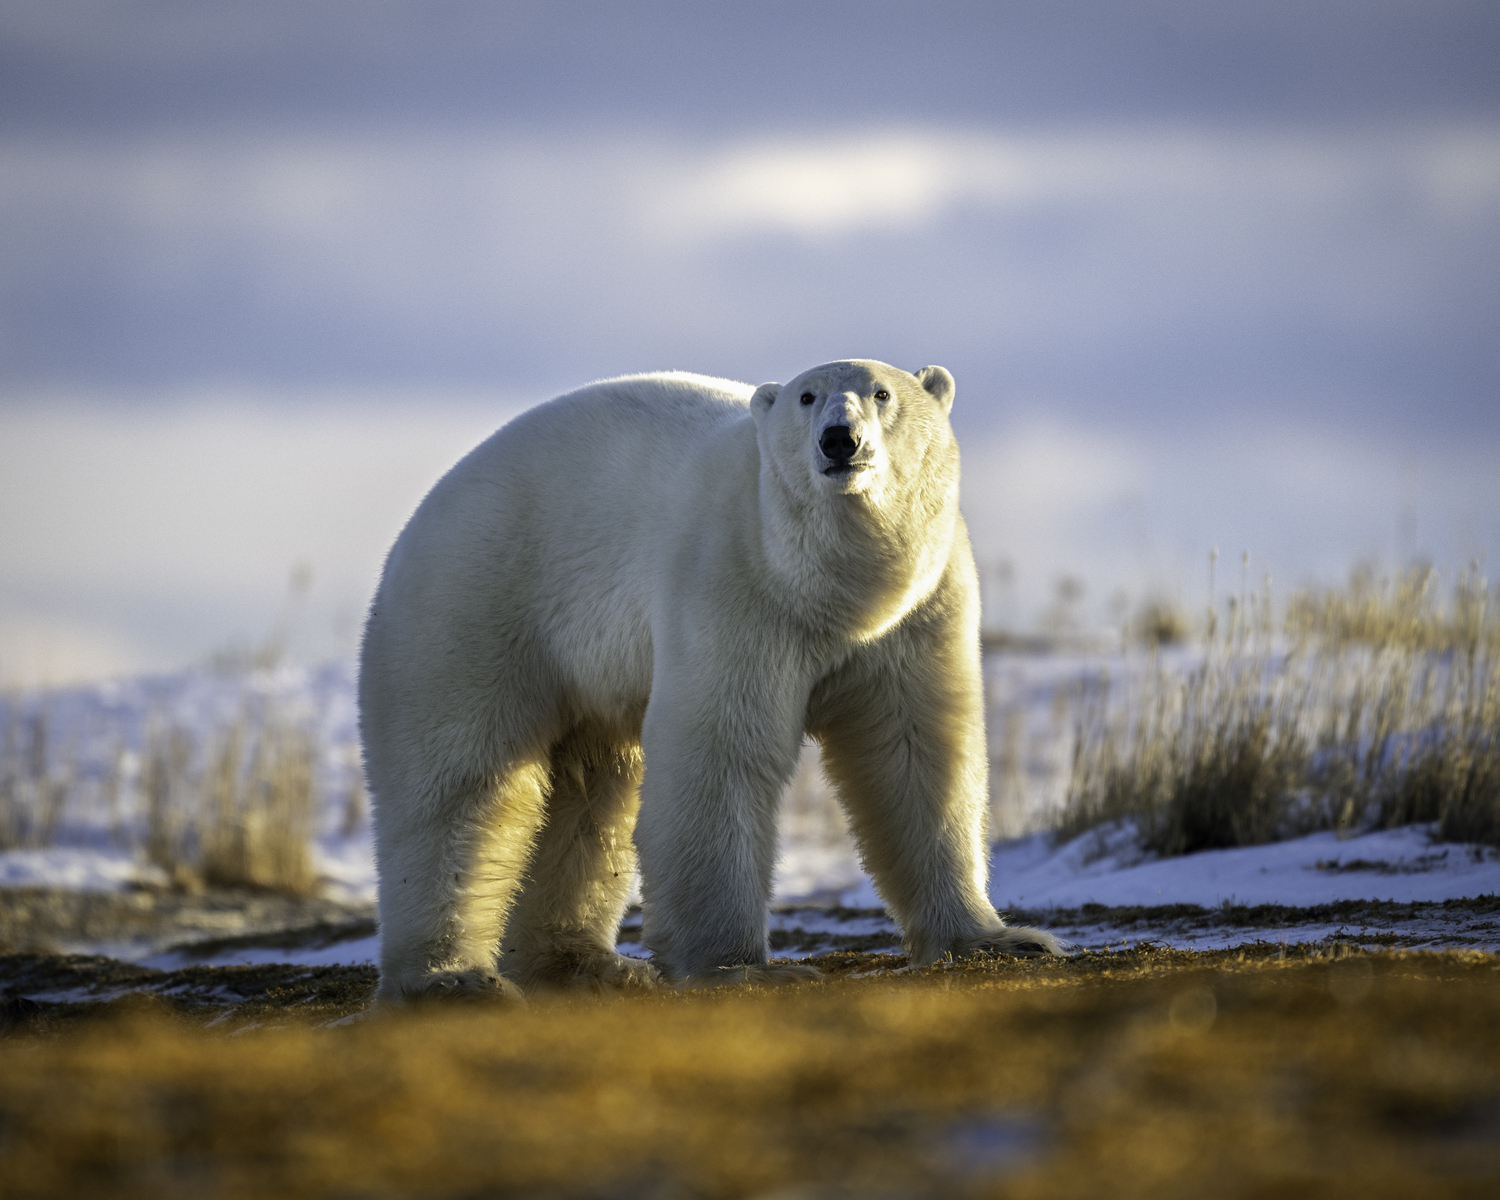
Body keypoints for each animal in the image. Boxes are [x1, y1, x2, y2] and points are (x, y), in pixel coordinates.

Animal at [357, 358, 1062, 1002]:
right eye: (808, 397)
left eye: (882, 393)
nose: (840, 440)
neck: (835, 594)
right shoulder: (736, 584)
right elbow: (724, 753)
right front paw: (740, 967)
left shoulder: (918, 611)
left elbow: (916, 752)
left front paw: (1002, 940)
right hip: (476, 604)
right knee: (460, 782)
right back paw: (450, 978)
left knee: (590, 789)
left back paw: (587, 965)